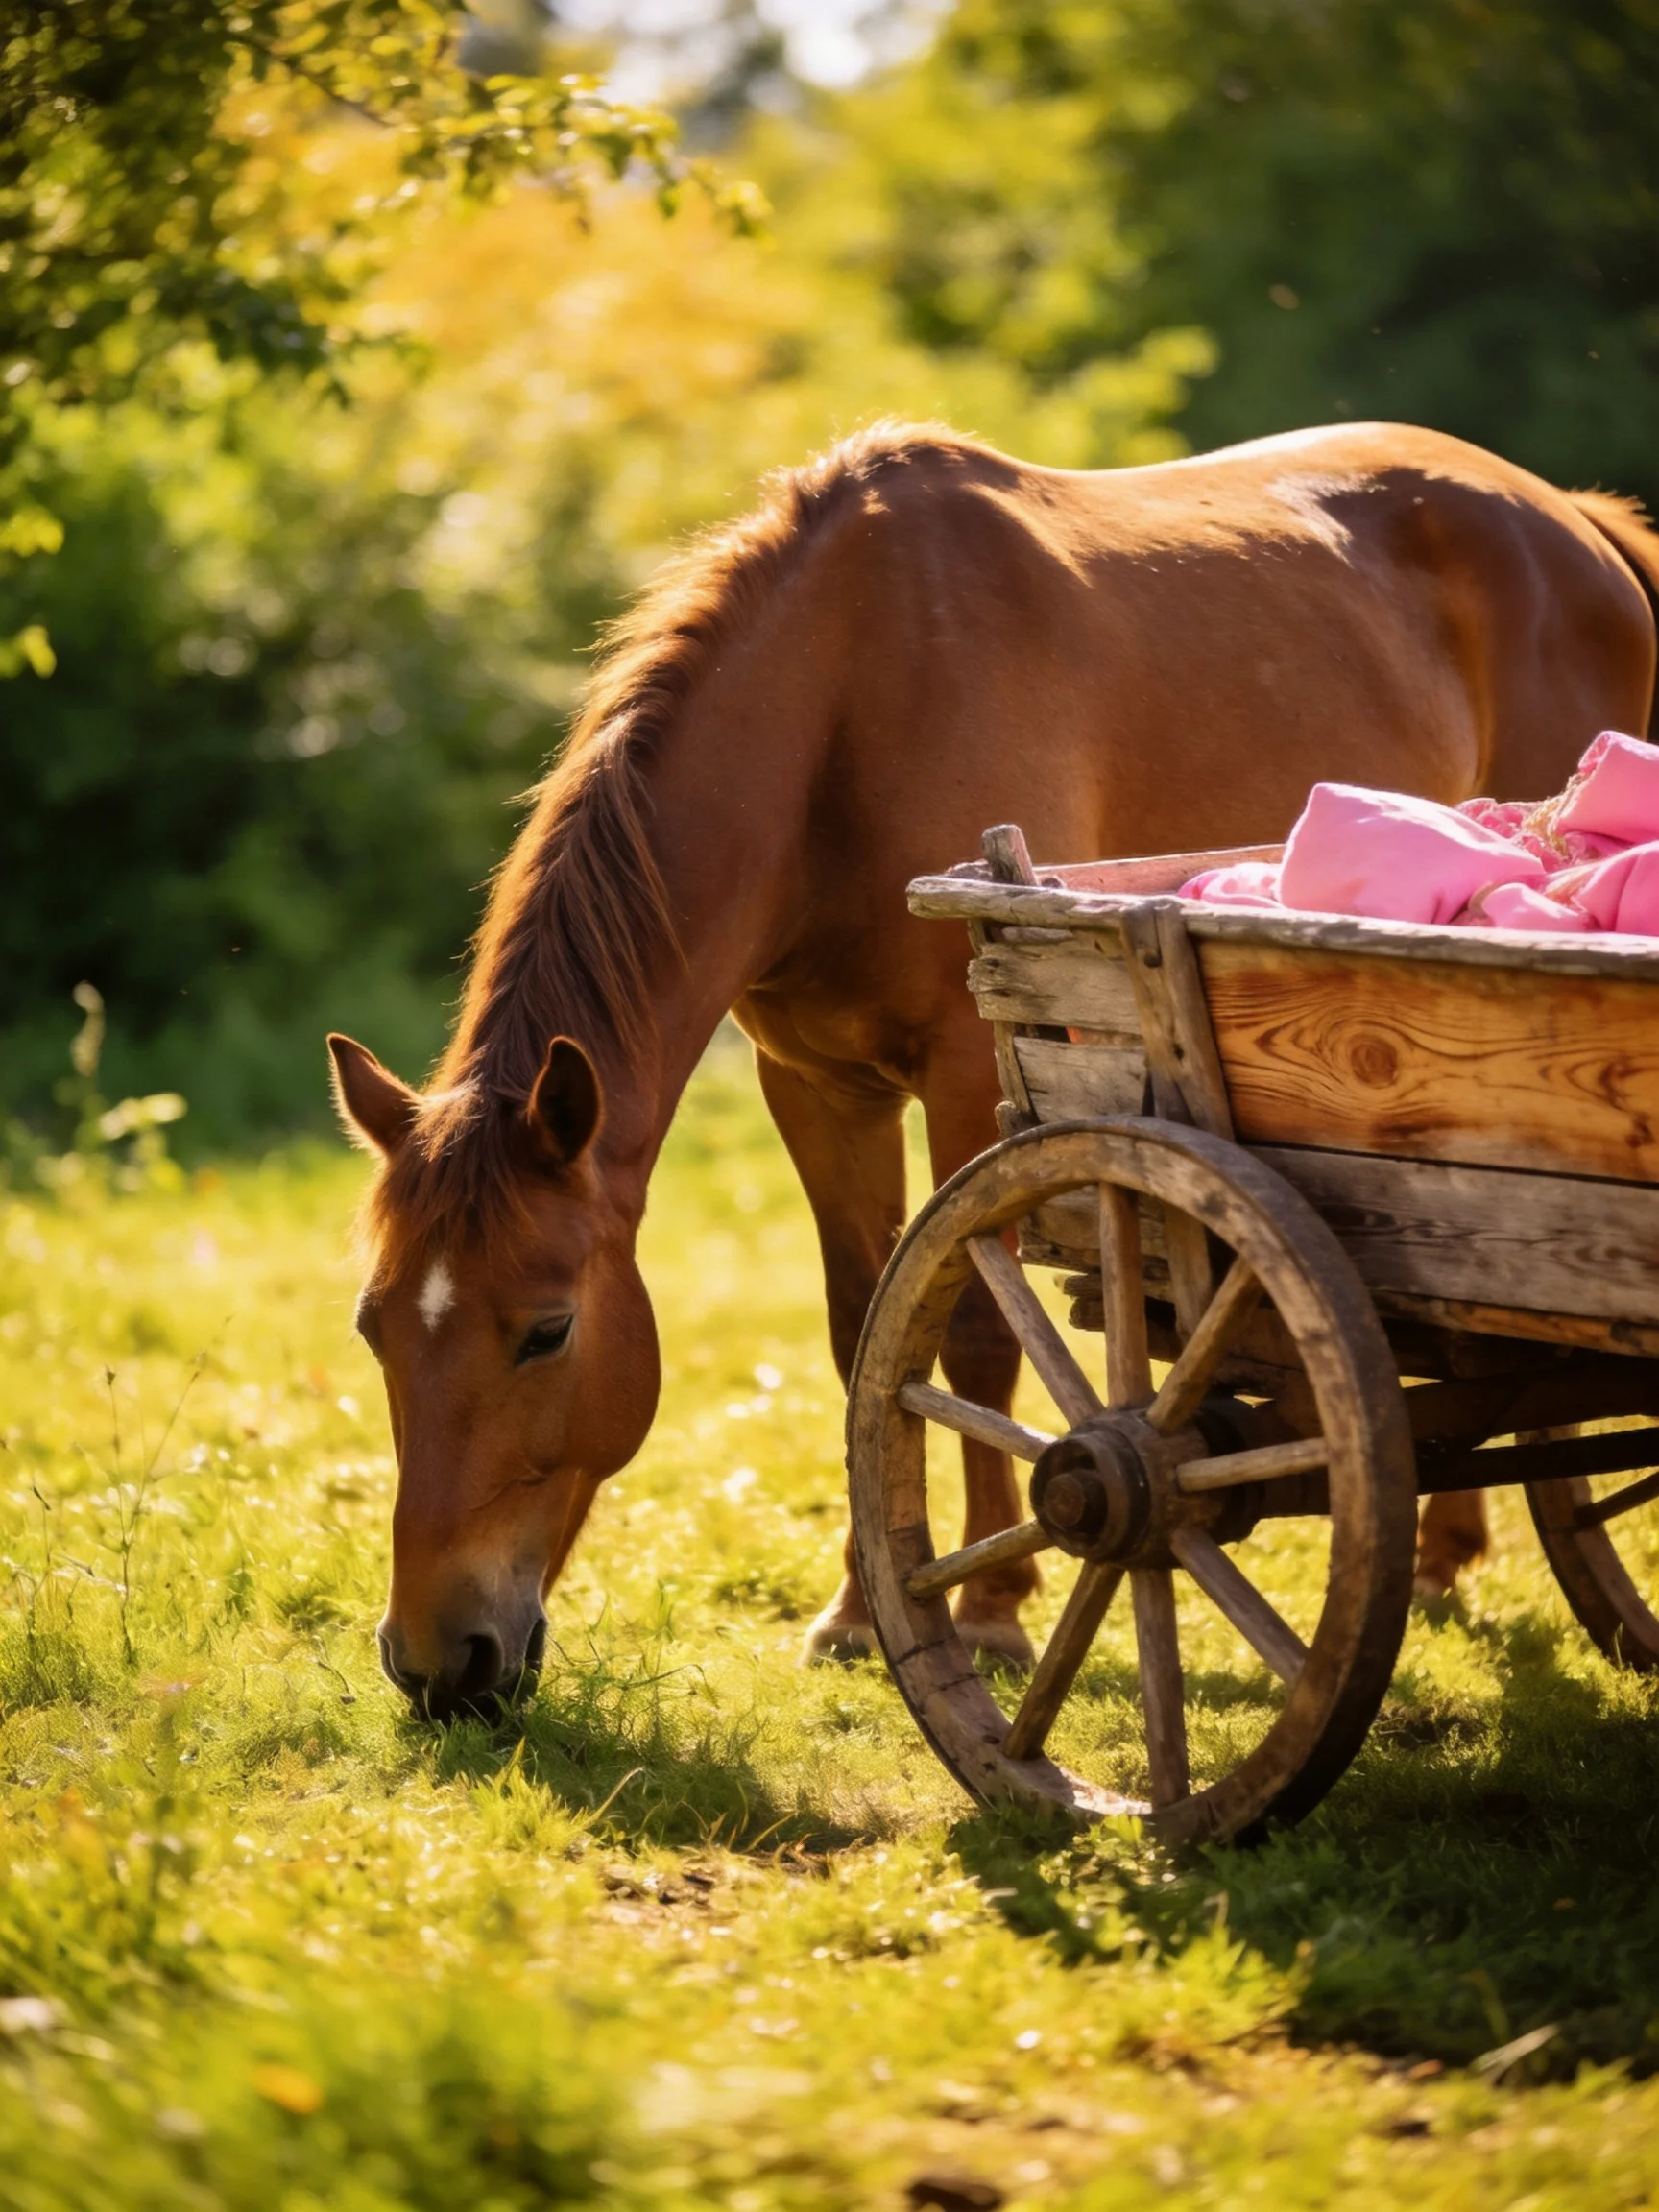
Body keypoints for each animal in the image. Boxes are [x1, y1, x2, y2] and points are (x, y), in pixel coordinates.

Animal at [328, 419, 1659, 1717]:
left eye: (548, 1332)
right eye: (371, 1326)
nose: (438, 1662)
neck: (844, 708)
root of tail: (1575, 520)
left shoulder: (976, 1078)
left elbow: (970, 1334)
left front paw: (989, 1610)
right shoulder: (819, 1089)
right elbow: (865, 1334)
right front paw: (857, 1611)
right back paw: (1443, 1551)